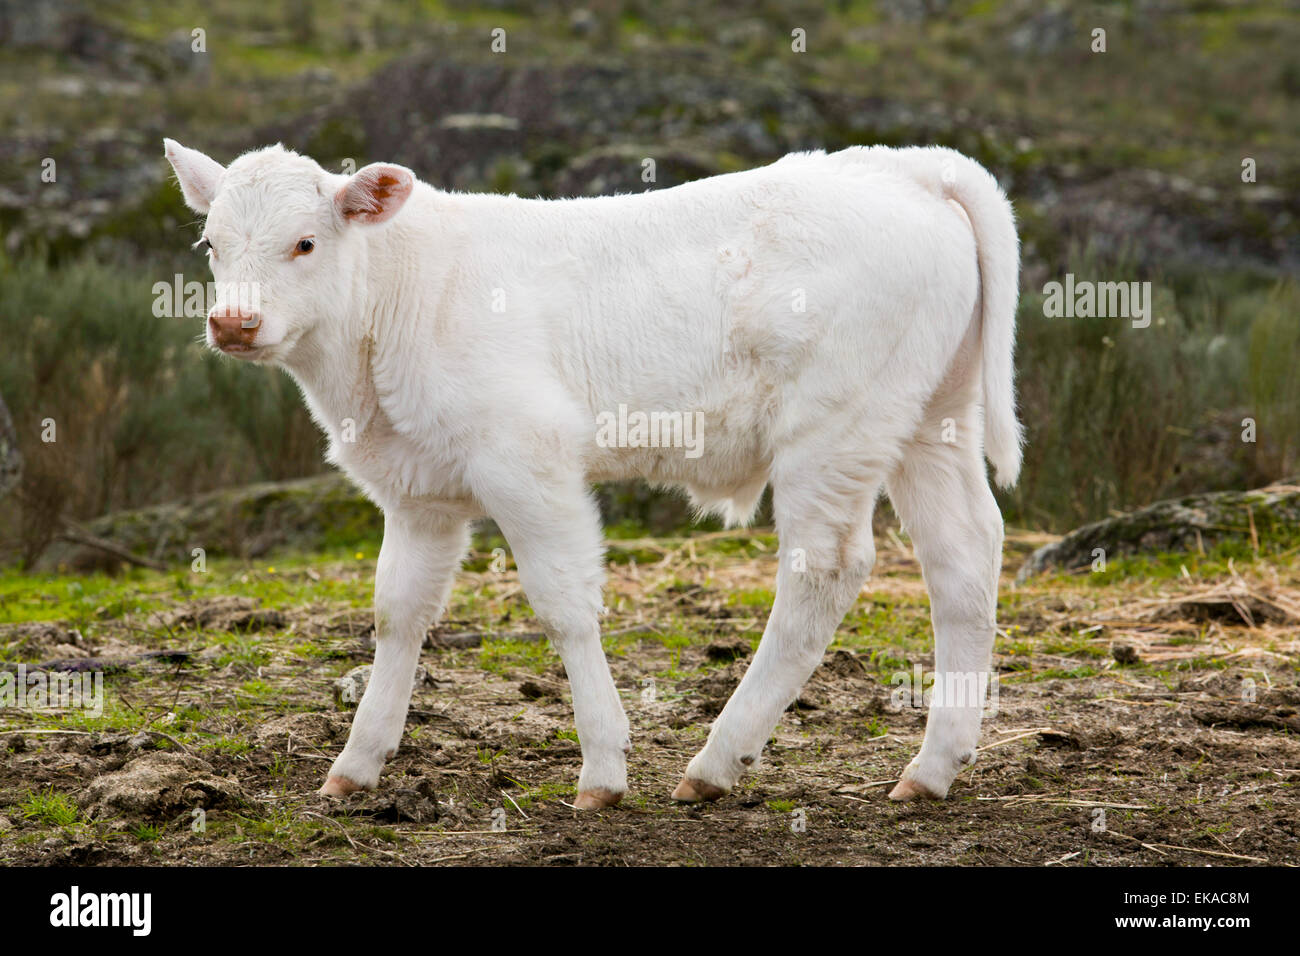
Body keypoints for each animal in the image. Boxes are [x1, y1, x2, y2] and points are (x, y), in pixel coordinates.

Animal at [165, 140, 1013, 806]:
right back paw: (933, 766)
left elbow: (564, 606)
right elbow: (397, 613)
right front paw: (357, 762)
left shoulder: (526, 460)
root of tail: (912, 166)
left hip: (834, 429)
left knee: (824, 573)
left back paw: (717, 761)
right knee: (963, 557)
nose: (233, 323)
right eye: (211, 245)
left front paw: (603, 767)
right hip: (931, 418)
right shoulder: (418, 490)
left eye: (306, 243)